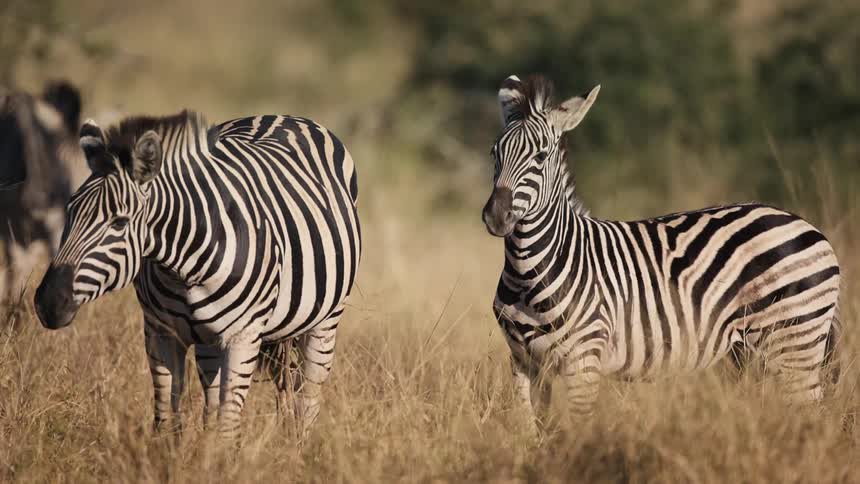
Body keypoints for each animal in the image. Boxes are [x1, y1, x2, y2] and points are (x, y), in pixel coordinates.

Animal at [32, 111, 361, 439]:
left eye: (119, 222)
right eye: (69, 211)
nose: (48, 303)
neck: (182, 267)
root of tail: (281, 115)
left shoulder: (243, 336)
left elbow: (228, 425)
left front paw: (221, 455)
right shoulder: (160, 332)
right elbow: (166, 419)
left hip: (325, 321)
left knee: (308, 396)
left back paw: (299, 445)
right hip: (208, 341)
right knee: (213, 401)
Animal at [481, 75, 841, 434]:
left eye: (541, 157)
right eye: (494, 153)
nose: (496, 216)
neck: (530, 271)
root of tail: (810, 227)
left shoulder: (583, 359)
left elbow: (578, 430)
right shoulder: (524, 361)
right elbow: (531, 433)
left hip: (795, 343)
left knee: (811, 415)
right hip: (755, 352)